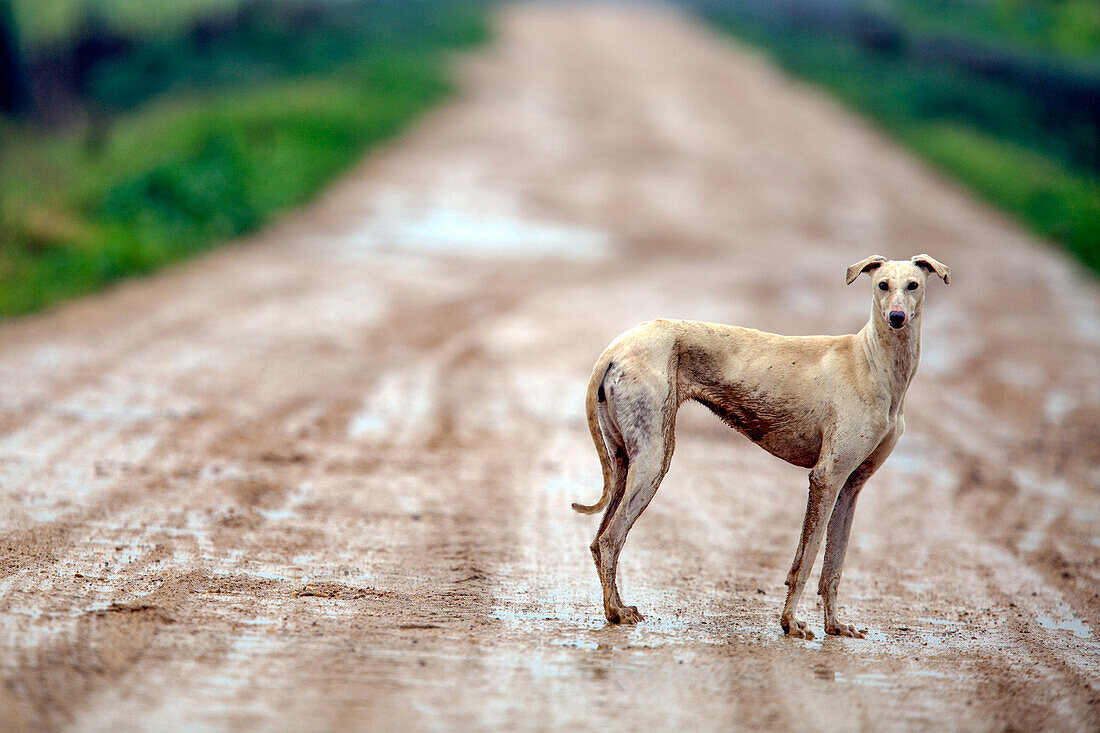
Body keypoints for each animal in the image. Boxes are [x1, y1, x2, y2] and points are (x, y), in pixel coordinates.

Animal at [572, 254, 950, 638]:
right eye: (882, 285)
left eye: (913, 285)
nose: (897, 318)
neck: (872, 363)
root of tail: (615, 349)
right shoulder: (826, 478)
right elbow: (806, 560)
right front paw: (791, 622)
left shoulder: (851, 485)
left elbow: (834, 566)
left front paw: (835, 626)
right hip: (653, 460)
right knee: (610, 539)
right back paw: (616, 612)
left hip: (625, 464)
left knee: (598, 540)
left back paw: (616, 607)